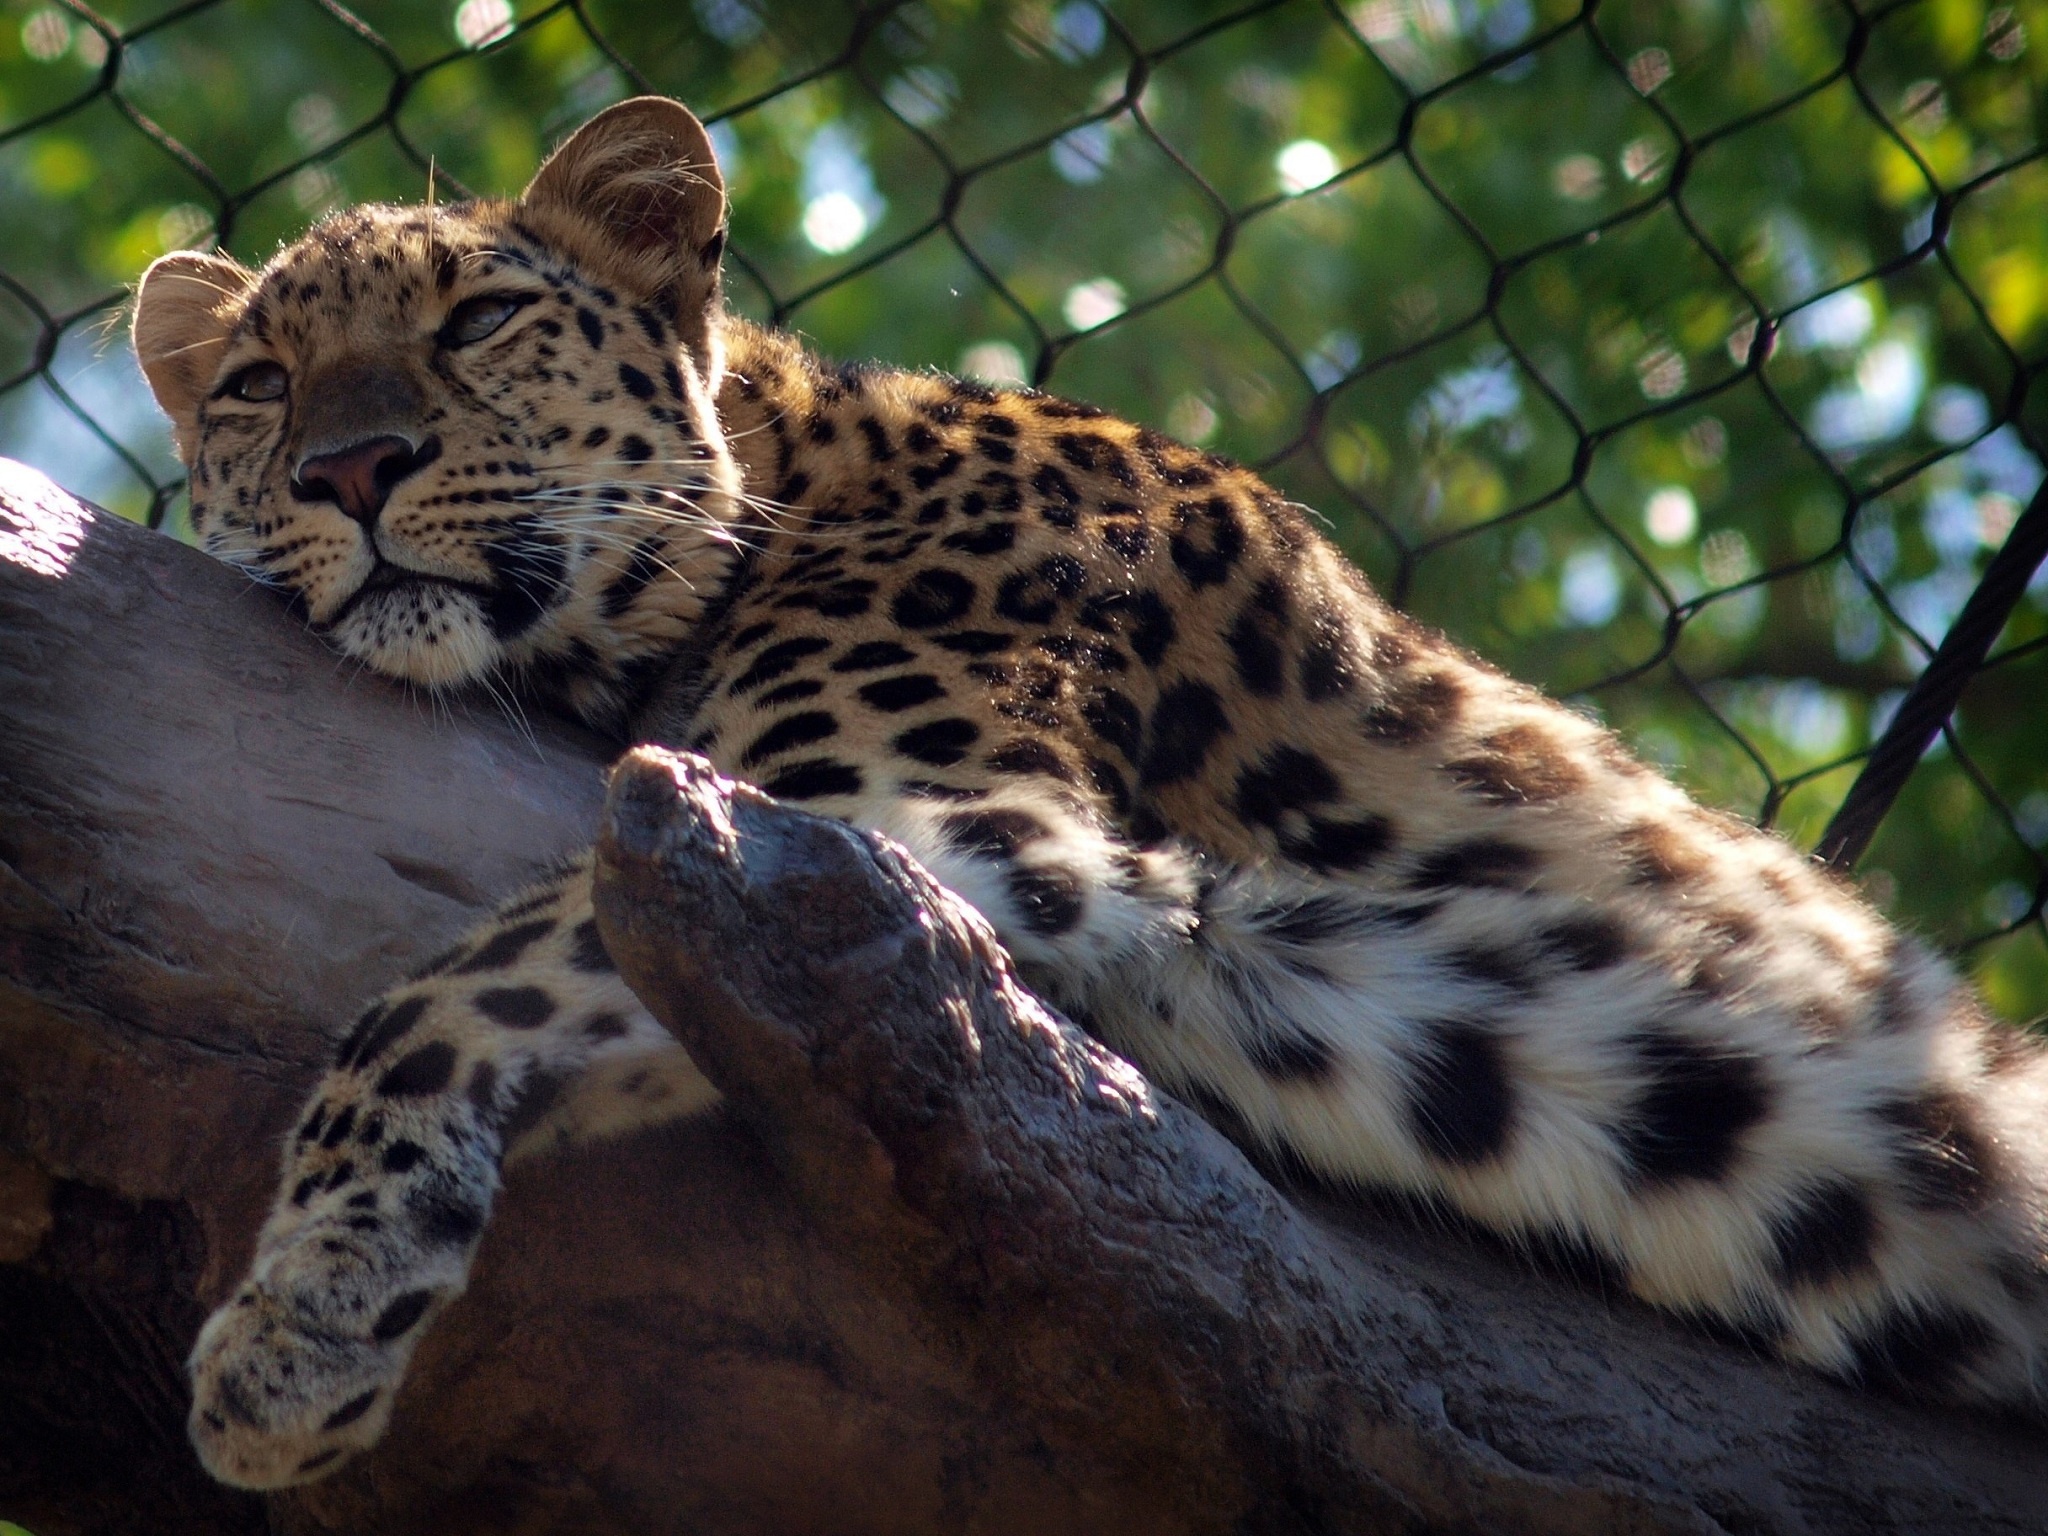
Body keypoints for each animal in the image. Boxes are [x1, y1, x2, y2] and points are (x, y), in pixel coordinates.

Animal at [132, 96, 2048, 1490]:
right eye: (258, 384)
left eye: (478, 321)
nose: (351, 466)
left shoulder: (879, 832)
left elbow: (451, 984)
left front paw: (301, 1315)